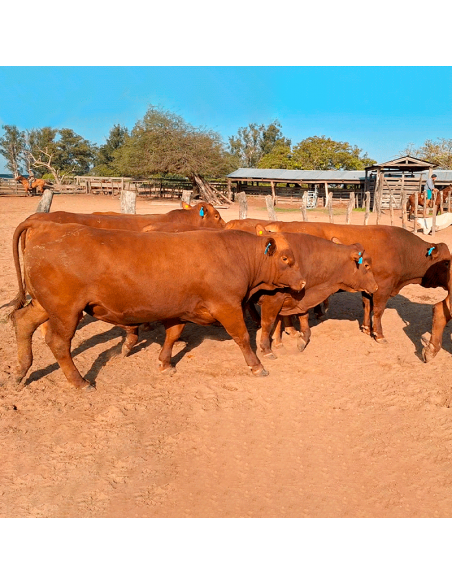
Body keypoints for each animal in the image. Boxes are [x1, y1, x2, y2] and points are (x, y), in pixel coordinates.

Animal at [8, 221, 306, 390]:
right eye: (286, 259)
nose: (303, 282)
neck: (236, 256)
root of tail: (46, 226)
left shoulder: (178, 310)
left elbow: (172, 336)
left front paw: (165, 363)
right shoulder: (227, 306)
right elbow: (242, 337)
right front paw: (256, 366)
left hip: (45, 305)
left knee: (23, 323)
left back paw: (20, 373)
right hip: (66, 310)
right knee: (59, 343)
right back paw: (79, 382)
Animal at [252, 230, 380, 358]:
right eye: (366, 265)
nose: (376, 287)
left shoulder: (301, 300)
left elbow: (304, 322)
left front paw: (300, 341)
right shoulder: (272, 301)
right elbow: (268, 323)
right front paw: (267, 349)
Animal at [264, 221, 450, 344]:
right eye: (447, 263)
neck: (402, 251)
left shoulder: (369, 287)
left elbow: (367, 306)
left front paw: (367, 328)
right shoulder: (383, 287)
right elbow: (378, 310)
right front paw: (379, 335)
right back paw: (292, 330)